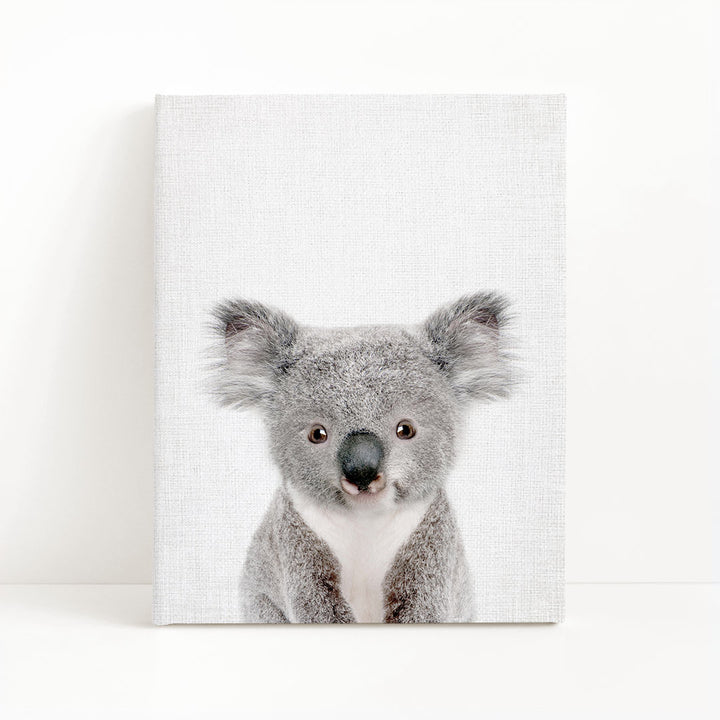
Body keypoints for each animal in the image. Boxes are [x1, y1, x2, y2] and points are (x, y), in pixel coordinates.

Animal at [212, 292, 512, 623]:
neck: (364, 521)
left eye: (405, 430)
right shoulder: (295, 542)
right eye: (317, 434)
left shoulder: (431, 542)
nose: (362, 472)